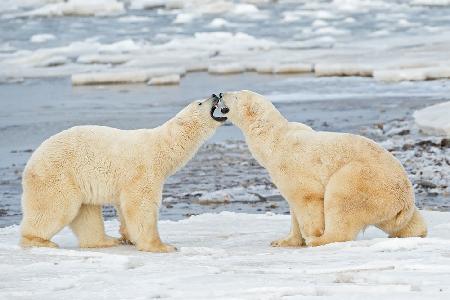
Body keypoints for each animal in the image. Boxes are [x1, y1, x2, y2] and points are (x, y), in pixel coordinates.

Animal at [20, 95, 229, 252]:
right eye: (199, 103)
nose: (214, 95)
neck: (162, 147)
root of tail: (31, 162)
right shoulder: (144, 170)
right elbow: (141, 205)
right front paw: (162, 246)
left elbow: (124, 206)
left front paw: (128, 236)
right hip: (58, 176)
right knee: (56, 208)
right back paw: (39, 240)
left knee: (87, 213)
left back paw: (107, 240)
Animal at [220, 90, 428, 247]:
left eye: (236, 96)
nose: (220, 93)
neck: (273, 139)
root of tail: (404, 200)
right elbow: (293, 208)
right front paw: (282, 241)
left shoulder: (290, 165)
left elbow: (306, 198)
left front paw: (311, 233)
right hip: (392, 206)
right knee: (405, 222)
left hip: (364, 180)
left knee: (341, 201)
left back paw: (320, 239)